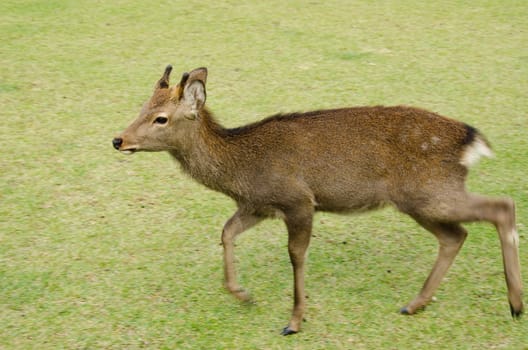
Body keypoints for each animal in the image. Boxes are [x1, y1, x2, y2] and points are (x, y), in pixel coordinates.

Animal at [113, 64, 520, 334]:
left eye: (161, 118)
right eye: (142, 109)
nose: (119, 139)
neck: (239, 171)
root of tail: (470, 140)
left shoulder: (298, 199)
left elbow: (296, 255)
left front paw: (294, 321)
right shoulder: (259, 205)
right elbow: (226, 232)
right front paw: (243, 295)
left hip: (429, 192)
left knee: (501, 206)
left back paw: (515, 304)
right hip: (422, 199)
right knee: (456, 235)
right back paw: (415, 304)